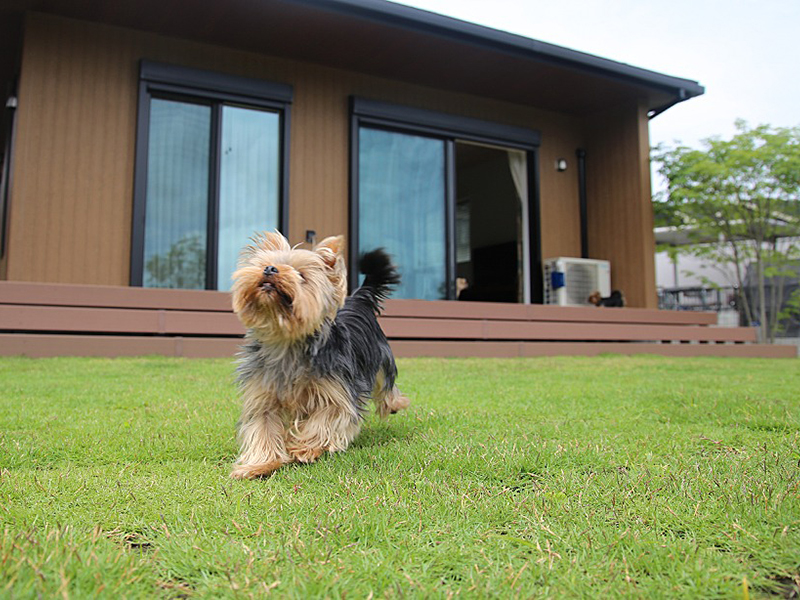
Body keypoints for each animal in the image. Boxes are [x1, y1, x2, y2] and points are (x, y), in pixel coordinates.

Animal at [228, 232, 410, 480]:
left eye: (301, 275)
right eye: (264, 264)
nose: (270, 269)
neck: (286, 342)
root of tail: (357, 299)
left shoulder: (338, 392)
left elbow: (326, 418)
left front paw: (304, 448)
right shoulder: (263, 396)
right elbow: (263, 428)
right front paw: (259, 465)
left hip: (381, 357)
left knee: (386, 384)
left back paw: (395, 403)